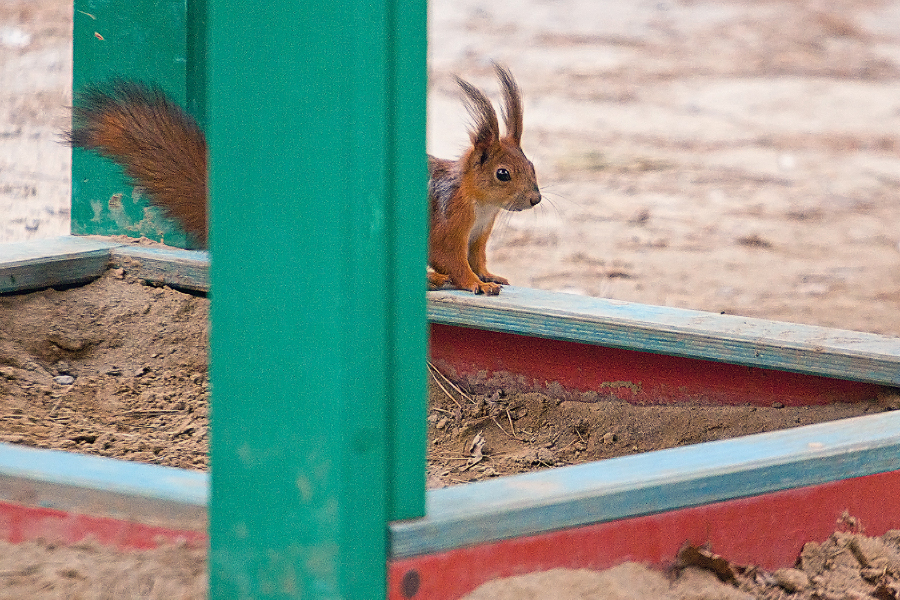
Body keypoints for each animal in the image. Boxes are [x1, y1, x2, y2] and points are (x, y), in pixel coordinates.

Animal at [68, 64, 540, 294]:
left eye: (532, 167)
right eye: (503, 174)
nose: (535, 199)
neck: (480, 204)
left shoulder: (478, 236)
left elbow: (477, 258)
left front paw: (492, 277)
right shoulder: (448, 226)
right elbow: (452, 261)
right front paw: (475, 286)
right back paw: (432, 281)